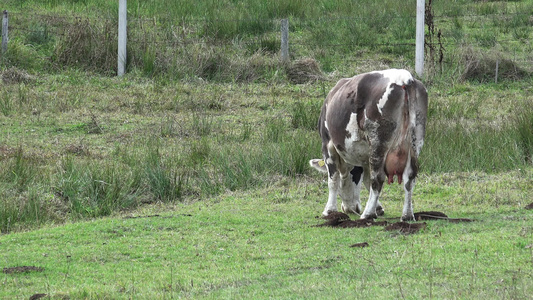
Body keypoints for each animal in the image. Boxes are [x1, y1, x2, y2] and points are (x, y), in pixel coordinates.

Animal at [308, 69, 428, 221]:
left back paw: (367, 214)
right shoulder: (365, 157)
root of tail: (405, 78)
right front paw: (379, 208)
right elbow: (366, 180)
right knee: (409, 177)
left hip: (378, 142)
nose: (351, 209)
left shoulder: (328, 145)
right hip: (416, 140)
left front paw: (329, 210)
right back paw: (407, 215)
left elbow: (333, 179)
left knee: (377, 178)